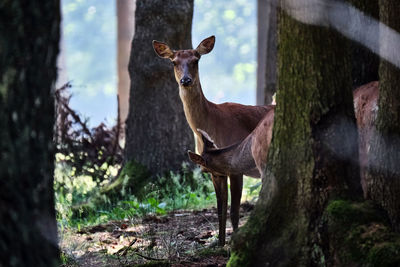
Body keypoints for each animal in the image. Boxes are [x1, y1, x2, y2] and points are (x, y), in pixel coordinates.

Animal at [152, 36, 270, 247]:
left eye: (196, 60)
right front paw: (219, 243)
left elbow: (234, 211)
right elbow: (220, 209)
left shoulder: (236, 167)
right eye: (174, 62)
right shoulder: (215, 172)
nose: (186, 80)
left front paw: (233, 244)